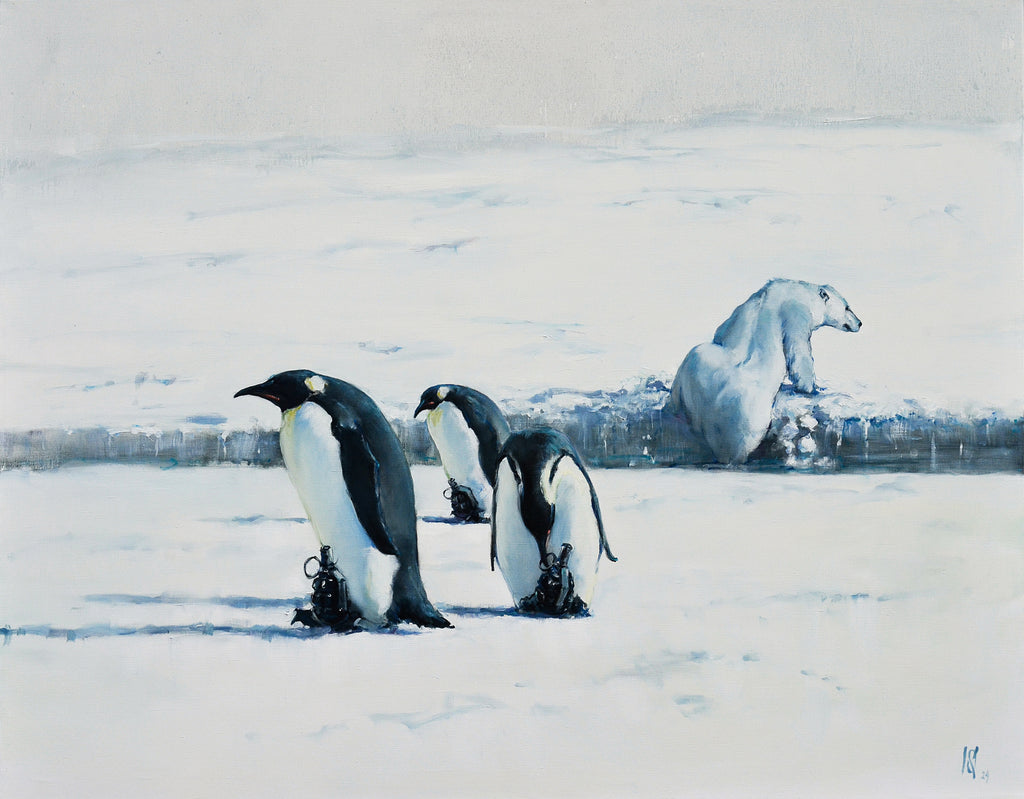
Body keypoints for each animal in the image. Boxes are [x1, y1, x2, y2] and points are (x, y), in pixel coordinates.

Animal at [665, 279, 861, 465]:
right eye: (847, 307)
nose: (860, 323)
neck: (798, 291)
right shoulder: (796, 312)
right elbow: (798, 349)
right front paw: (810, 387)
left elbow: (723, 329)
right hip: (747, 416)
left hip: (694, 366)